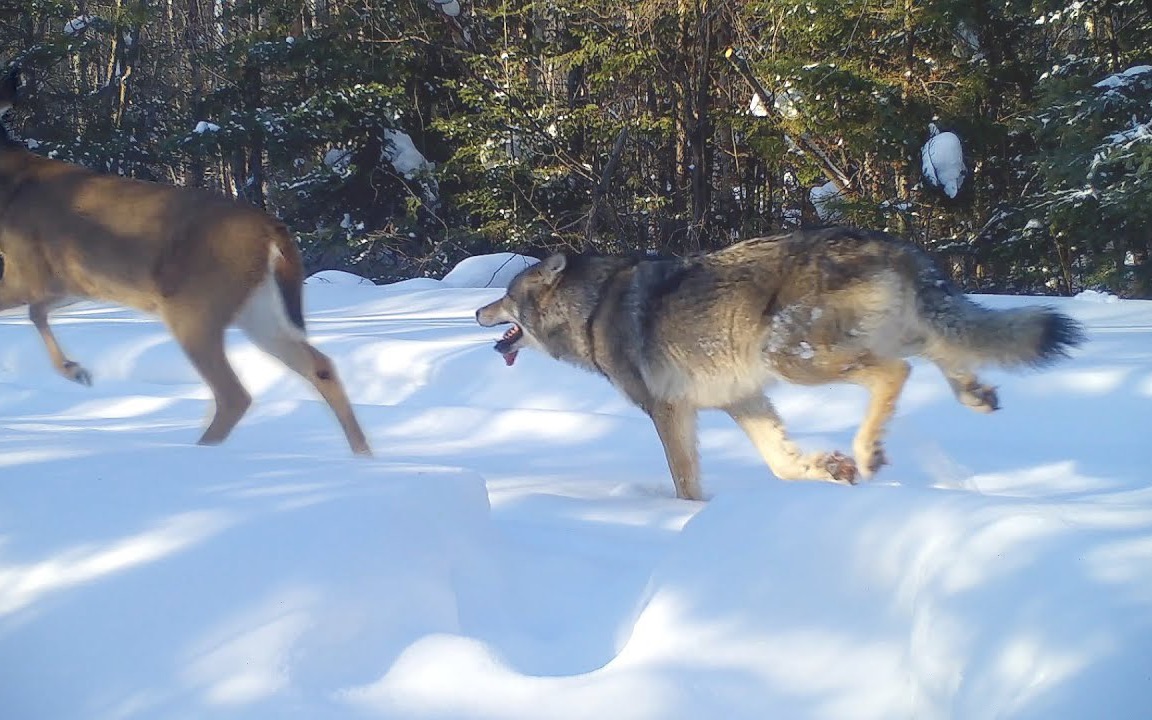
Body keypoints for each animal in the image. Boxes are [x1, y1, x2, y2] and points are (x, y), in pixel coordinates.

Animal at [0, 64, 370, 451]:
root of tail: (271, 228)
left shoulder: (30, 271)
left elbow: (30, 310)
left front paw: (76, 371)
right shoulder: (73, 284)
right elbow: (37, 311)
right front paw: (76, 370)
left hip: (195, 306)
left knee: (234, 394)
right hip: (256, 307)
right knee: (319, 366)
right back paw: (363, 454)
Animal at [472, 224, 1082, 499]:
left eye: (503, 296)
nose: (477, 311)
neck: (593, 309)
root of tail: (893, 245)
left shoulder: (669, 411)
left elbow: (685, 481)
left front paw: (687, 518)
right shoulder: (744, 400)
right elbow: (780, 462)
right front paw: (826, 469)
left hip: (796, 358)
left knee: (896, 372)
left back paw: (870, 449)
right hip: (878, 336)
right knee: (941, 349)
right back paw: (974, 395)